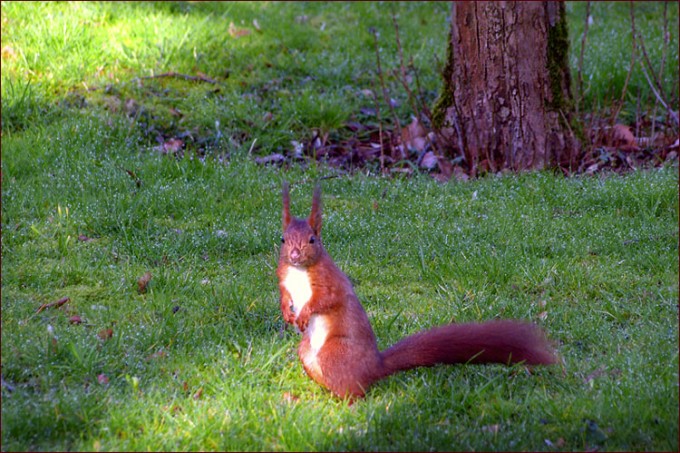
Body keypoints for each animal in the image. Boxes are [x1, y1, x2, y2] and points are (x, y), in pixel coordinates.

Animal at [276, 182, 556, 400]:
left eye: (313, 240)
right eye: (282, 239)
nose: (294, 255)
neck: (300, 271)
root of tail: (374, 368)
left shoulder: (330, 283)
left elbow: (325, 299)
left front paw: (304, 314)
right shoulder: (284, 280)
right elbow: (285, 296)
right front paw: (287, 312)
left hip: (334, 354)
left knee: (355, 391)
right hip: (307, 354)